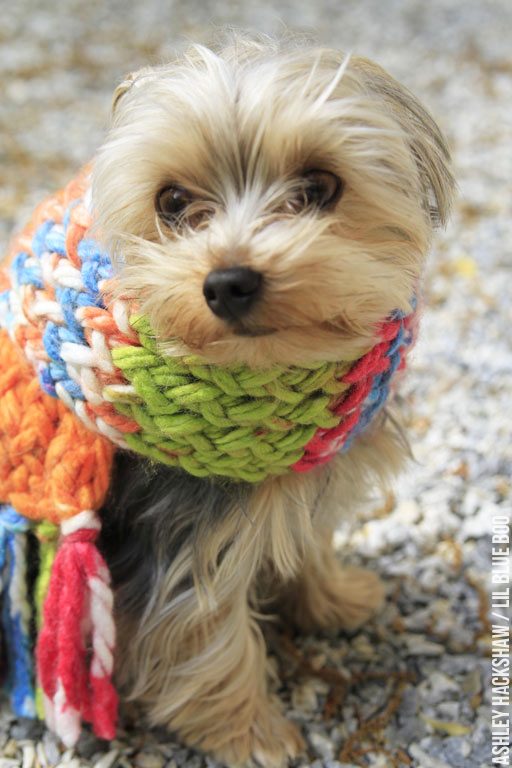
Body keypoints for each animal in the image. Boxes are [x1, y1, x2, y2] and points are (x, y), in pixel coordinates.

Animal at [90, 31, 454, 768]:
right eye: (173, 201)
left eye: (318, 188)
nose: (229, 282)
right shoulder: (183, 535)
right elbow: (205, 632)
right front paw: (251, 733)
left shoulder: (304, 470)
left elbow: (306, 535)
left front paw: (335, 599)